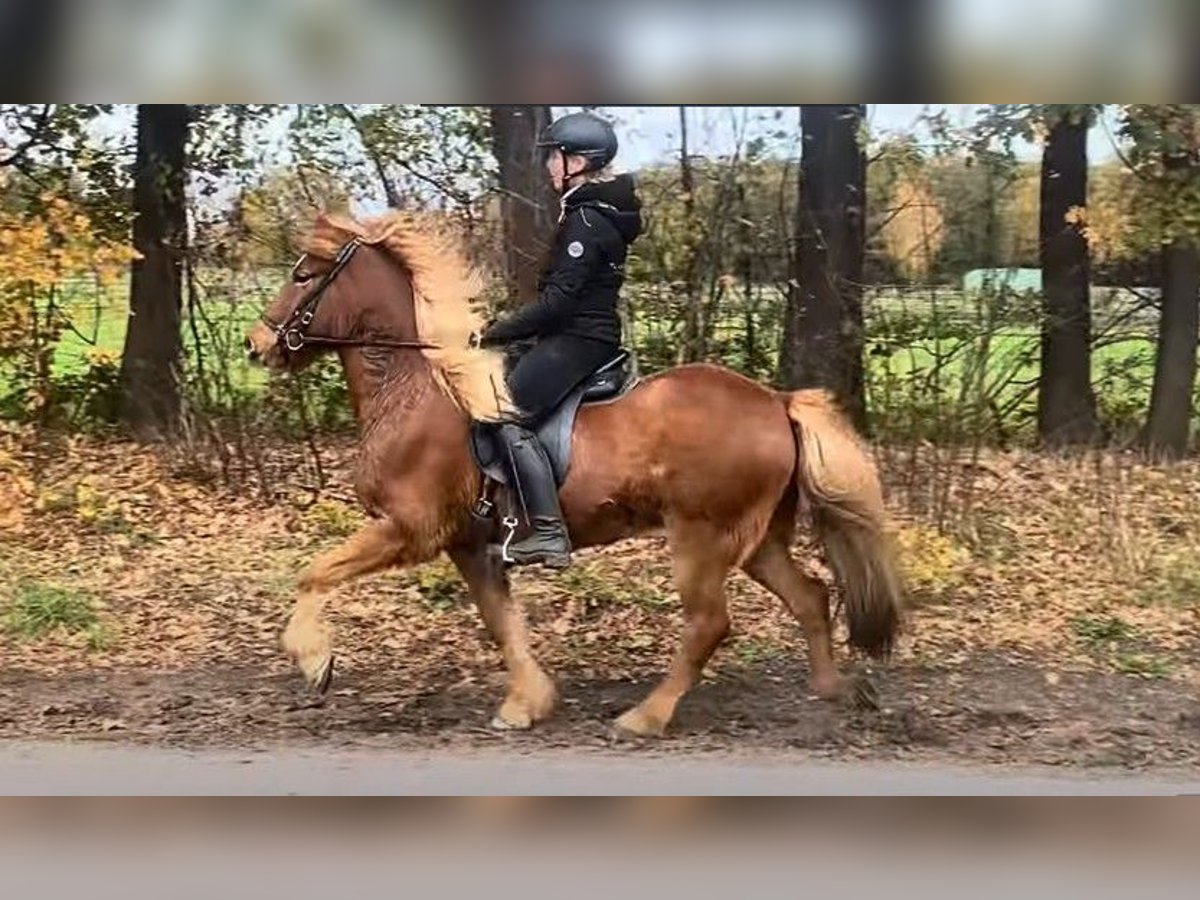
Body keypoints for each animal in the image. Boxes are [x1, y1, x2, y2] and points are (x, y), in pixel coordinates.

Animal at [244, 210, 904, 738]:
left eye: (303, 275)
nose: (255, 344)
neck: (416, 390)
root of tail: (777, 401)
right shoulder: (469, 544)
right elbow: (502, 624)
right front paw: (527, 704)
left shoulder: (410, 529)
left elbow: (315, 574)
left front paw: (315, 662)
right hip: (756, 538)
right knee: (810, 596)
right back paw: (831, 692)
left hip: (701, 535)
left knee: (709, 624)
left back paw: (645, 717)